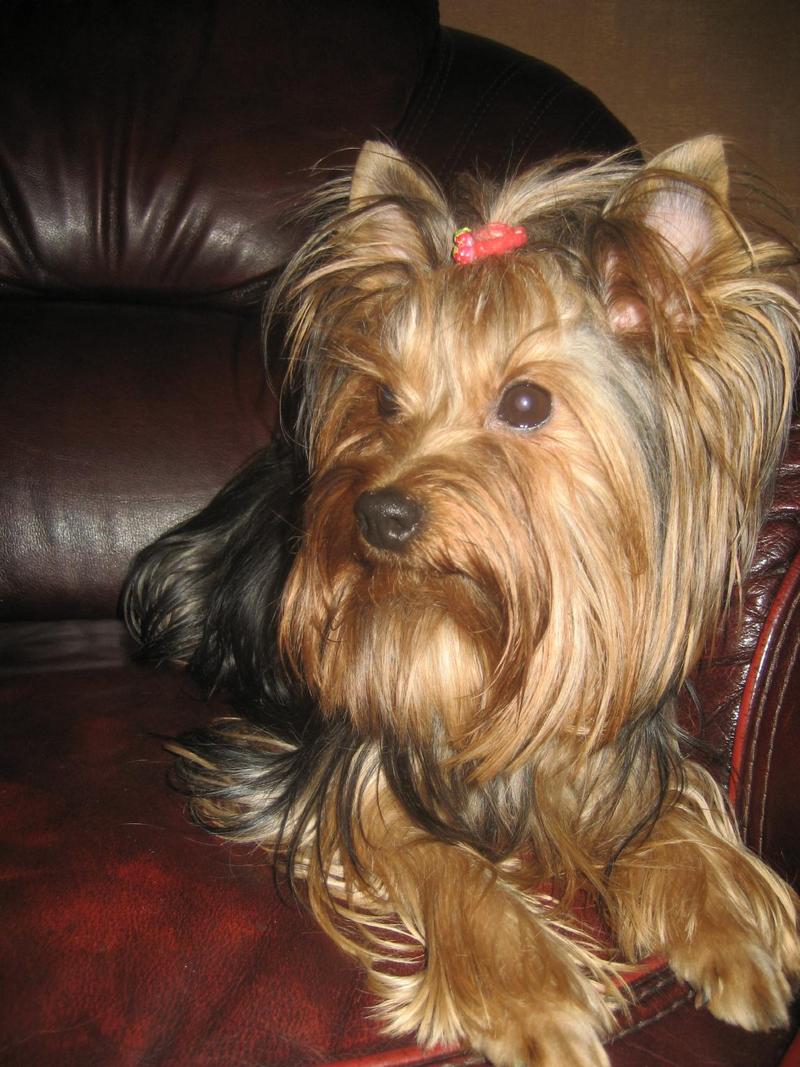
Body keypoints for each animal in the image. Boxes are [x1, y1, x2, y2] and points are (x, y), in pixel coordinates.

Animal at [125, 137, 800, 1066]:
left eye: (526, 402)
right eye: (382, 399)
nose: (379, 511)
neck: (474, 631)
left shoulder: (595, 751)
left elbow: (660, 820)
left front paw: (733, 933)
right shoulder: (343, 772)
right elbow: (437, 855)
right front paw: (535, 997)